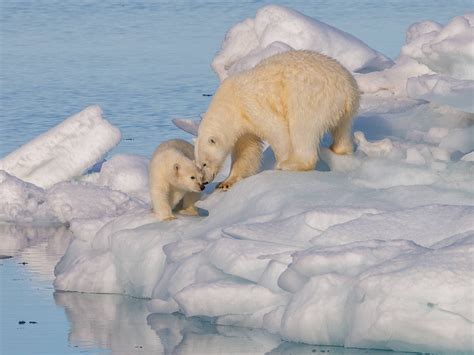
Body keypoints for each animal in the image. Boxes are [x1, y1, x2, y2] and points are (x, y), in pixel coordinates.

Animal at [195, 50, 360, 189]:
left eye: (204, 164)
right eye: (198, 164)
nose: (205, 181)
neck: (230, 104)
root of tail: (347, 90)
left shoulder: (251, 105)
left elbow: (277, 130)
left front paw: (282, 160)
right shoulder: (243, 126)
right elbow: (246, 151)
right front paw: (226, 182)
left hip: (310, 98)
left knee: (303, 130)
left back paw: (290, 164)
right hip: (345, 109)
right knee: (342, 130)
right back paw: (339, 149)